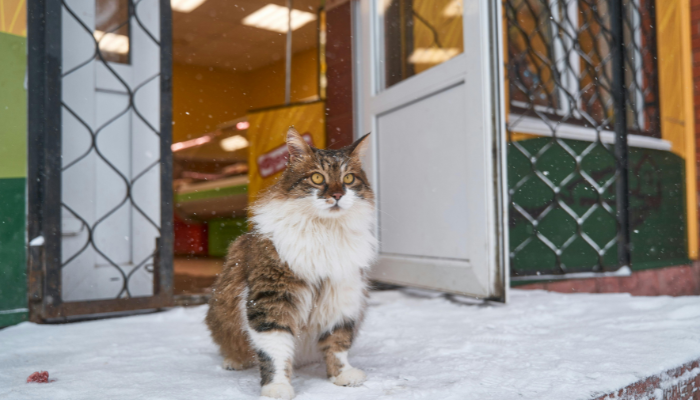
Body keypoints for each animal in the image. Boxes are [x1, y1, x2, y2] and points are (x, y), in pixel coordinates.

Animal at [205, 126, 378, 398]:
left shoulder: (342, 294)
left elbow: (338, 343)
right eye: (317, 178)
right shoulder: (273, 297)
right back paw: (233, 361)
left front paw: (342, 375)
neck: (325, 232)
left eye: (349, 179)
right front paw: (277, 387)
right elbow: (275, 351)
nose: (338, 195)